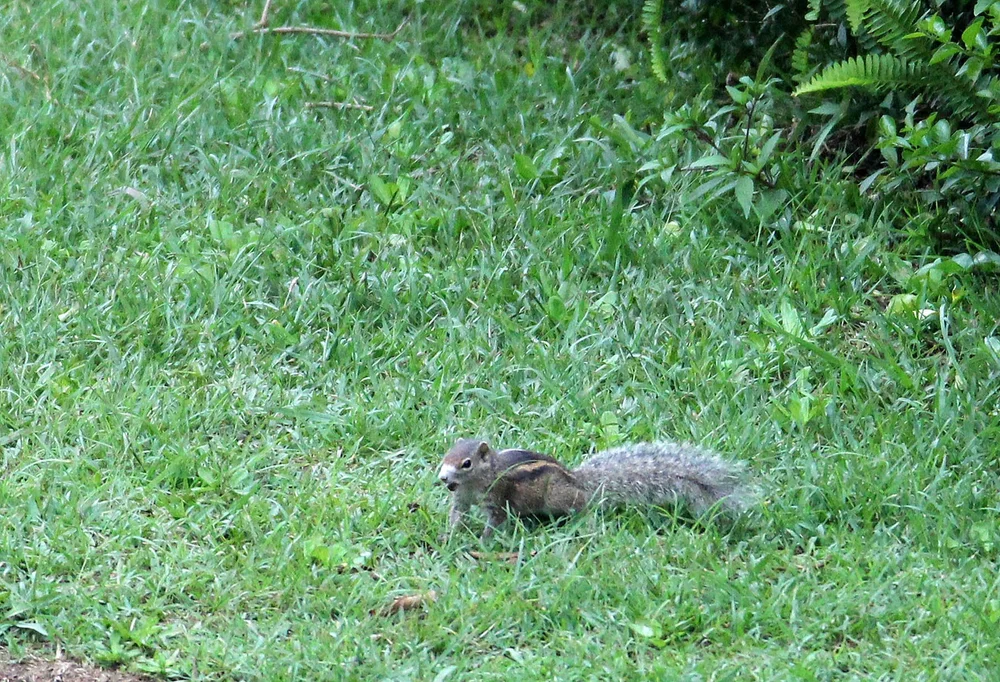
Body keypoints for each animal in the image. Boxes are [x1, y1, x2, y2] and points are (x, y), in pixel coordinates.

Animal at [438, 438, 751, 540]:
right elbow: (458, 514)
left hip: (558, 496)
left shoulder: (498, 496)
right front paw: (449, 536)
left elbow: (496, 520)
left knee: (583, 503)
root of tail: (577, 480)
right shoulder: (462, 498)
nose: (442, 478)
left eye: (466, 463)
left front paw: (483, 541)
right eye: (446, 455)